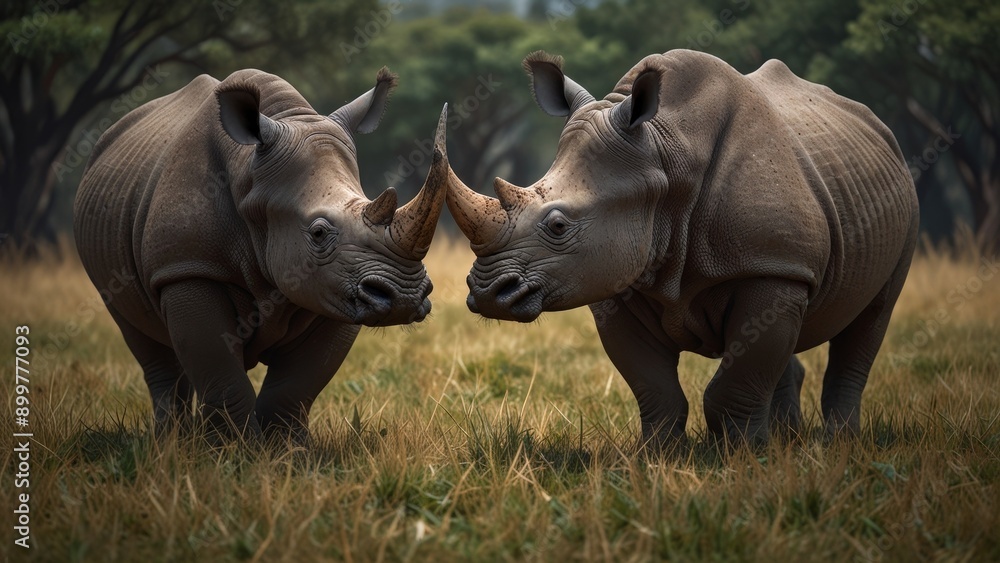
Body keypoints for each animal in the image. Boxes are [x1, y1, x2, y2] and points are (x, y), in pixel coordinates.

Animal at [74, 68, 450, 443]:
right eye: (318, 233)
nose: (404, 296)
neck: (251, 180)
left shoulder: (331, 287)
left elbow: (296, 386)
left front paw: (288, 451)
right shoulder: (187, 268)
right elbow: (223, 376)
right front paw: (233, 452)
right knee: (146, 344)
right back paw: (171, 443)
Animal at [446, 50, 919, 449]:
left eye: (559, 226)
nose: (487, 293)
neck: (662, 156)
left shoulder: (769, 265)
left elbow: (735, 384)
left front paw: (742, 460)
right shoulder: (619, 276)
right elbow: (655, 388)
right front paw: (657, 459)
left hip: (899, 205)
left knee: (871, 319)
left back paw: (838, 444)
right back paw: (786, 440)